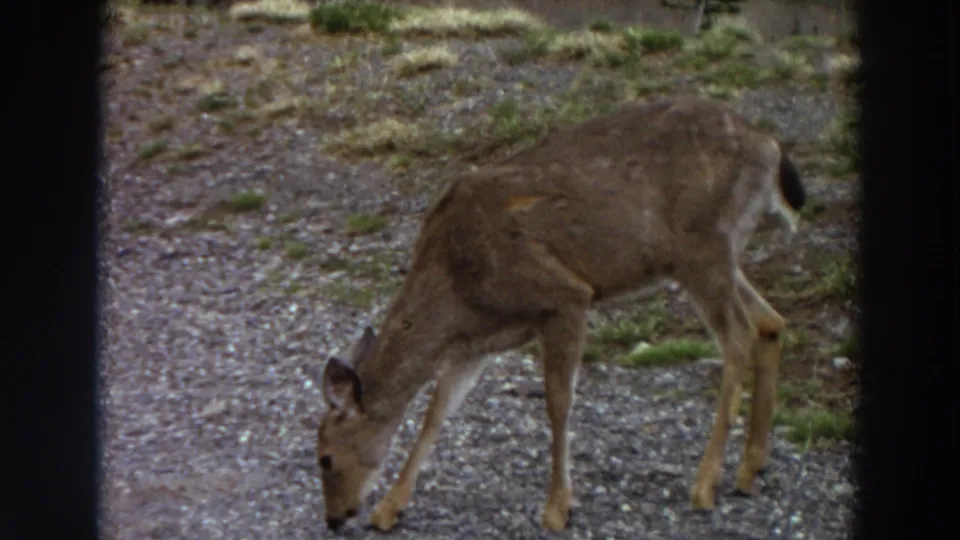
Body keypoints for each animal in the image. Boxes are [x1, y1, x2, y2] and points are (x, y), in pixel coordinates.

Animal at [315, 96, 807, 533]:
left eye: (325, 457)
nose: (335, 519)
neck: (455, 288)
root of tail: (769, 145)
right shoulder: (476, 342)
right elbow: (437, 412)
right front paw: (389, 509)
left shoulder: (564, 295)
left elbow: (557, 402)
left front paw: (557, 508)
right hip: (715, 256)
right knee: (771, 323)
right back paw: (749, 469)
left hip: (703, 247)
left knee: (739, 337)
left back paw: (706, 484)